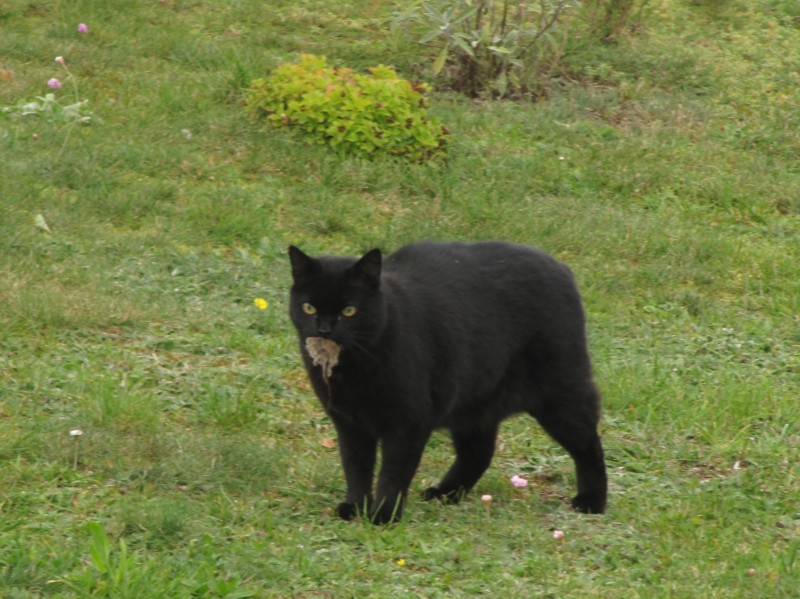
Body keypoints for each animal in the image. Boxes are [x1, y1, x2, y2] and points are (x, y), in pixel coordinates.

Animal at [290, 241, 608, 524]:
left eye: (349, 311)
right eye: (308, 308)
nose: (324, 329)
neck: (355, 370)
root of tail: (560, 267)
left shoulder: (408, 424)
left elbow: (393, 472)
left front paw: (384, 514)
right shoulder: (350, 423)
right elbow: (356, 468)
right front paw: (356, 507)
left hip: (560, 395)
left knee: (588, 444)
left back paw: (592, 501)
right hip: (475, 404)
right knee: (478, 453)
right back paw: (445, 494)